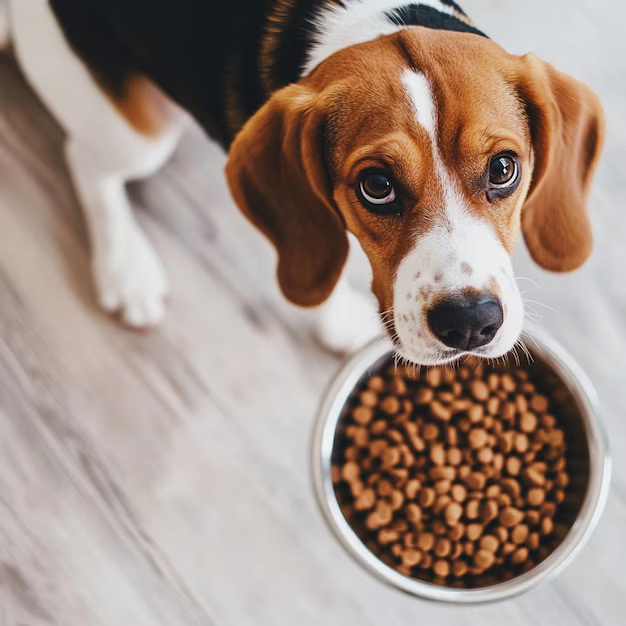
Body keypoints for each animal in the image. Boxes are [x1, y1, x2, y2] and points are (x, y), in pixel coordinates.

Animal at [6, 0, 600, 364]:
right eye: (377, 185)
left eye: (503, 169)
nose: (471, 323)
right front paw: (341, 322)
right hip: (136, 132)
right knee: (87, 161)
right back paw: (128, 272)